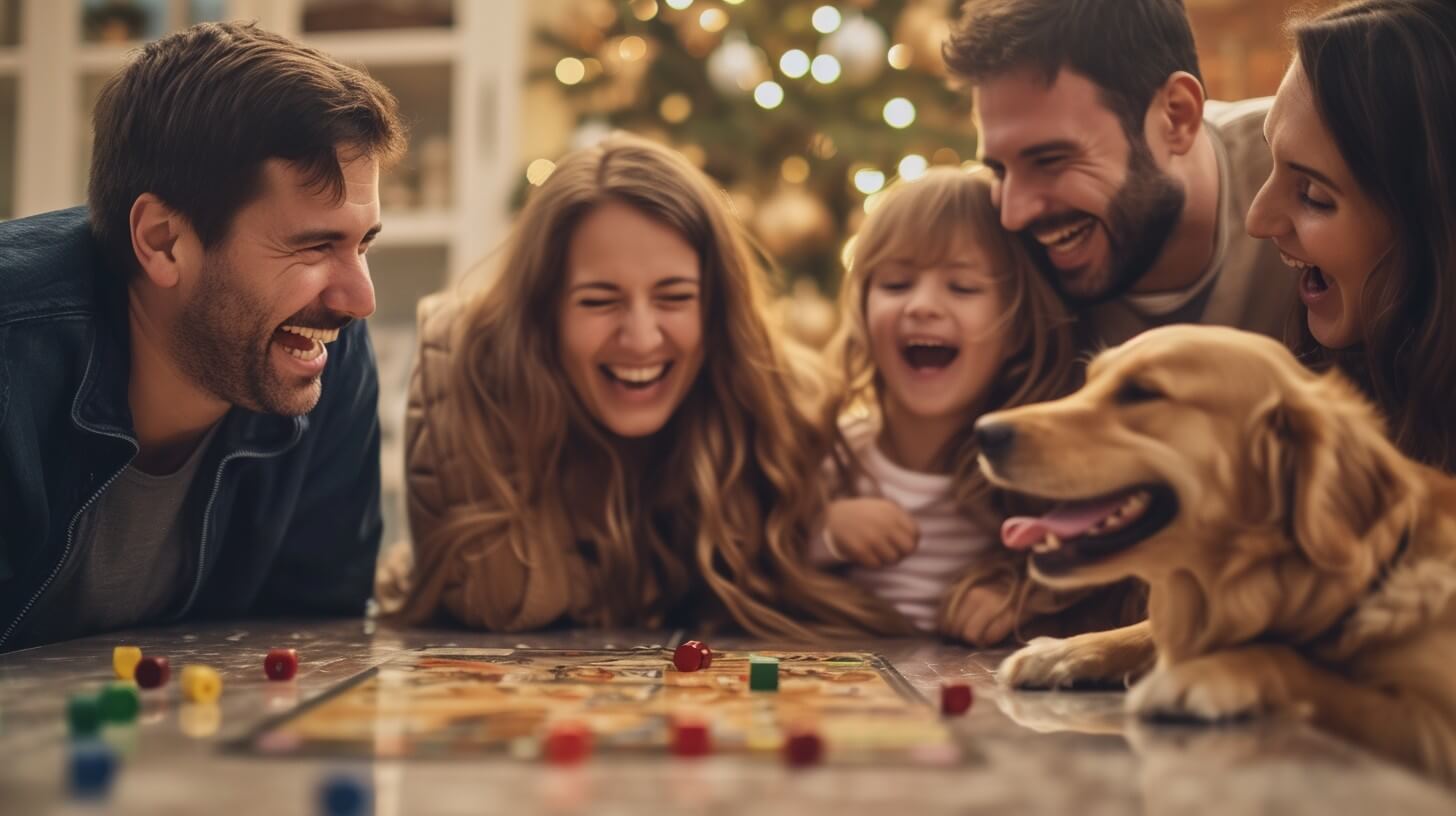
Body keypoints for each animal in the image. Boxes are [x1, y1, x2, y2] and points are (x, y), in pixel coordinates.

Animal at [972, 324, 1456, 786]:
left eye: (1141, 392)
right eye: (1090, 381)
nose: (982, 432)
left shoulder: (1432, 730)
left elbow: (1301, 668)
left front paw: (1202, 674)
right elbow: (1143, 630)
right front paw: (1058, 653)